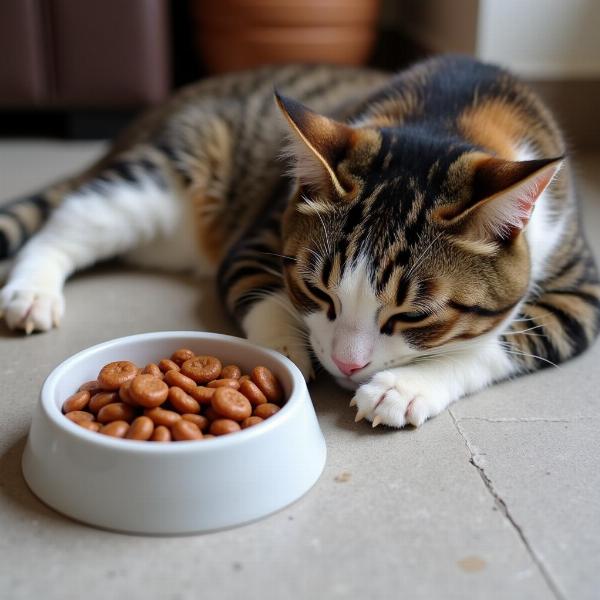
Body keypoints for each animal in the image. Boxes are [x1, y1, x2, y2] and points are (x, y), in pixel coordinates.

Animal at [1, 56, 600, 426]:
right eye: (317, 292)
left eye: (413, 317)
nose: (347, 367)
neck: (449, 113)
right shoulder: (262, 229)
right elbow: (259, 290)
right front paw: (283, 351)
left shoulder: (580, 294)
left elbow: (503, 340)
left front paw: (408, 388)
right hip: (164, 180)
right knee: (69, 221)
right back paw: (31, 293)